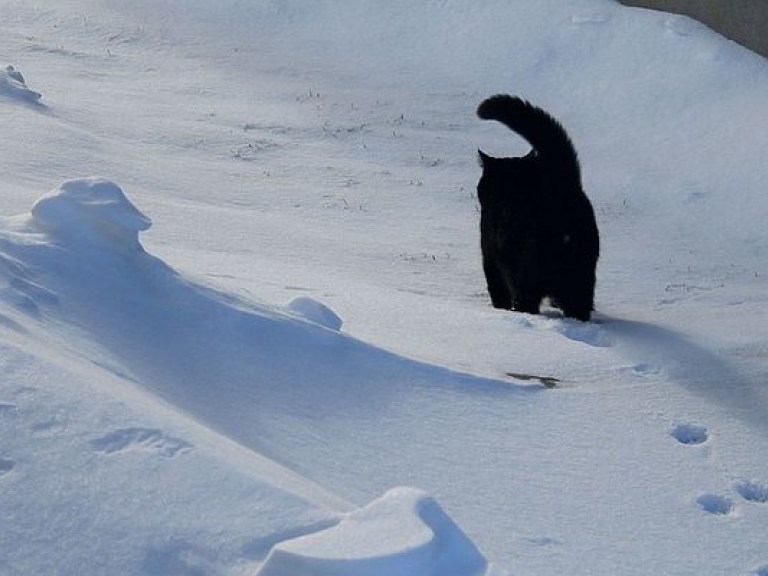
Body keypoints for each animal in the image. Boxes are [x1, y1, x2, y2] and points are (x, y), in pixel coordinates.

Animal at [474, 94, 600, 320]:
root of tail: (563, 192)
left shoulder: (490, 258)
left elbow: (498, 294)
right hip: (580, 278)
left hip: (525, 272)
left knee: (526, 300)